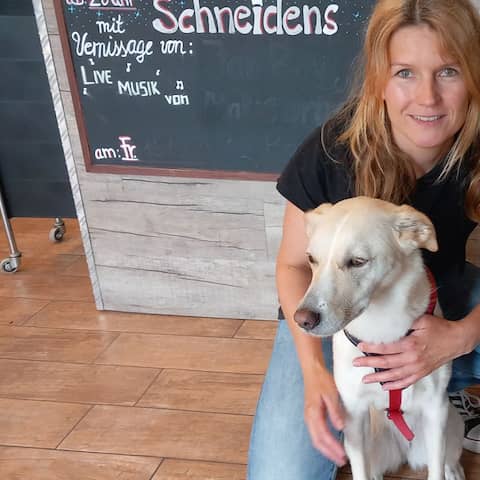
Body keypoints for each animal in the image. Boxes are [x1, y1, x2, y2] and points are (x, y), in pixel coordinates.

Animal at [294, 197, 465, 480]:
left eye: (357, 261)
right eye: (311, 259)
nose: (302, 320)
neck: (383, 327)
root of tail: (404, 451)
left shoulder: (435, 408)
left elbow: (436, 470)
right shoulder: (354, 414)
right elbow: (361, 470)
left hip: (451, 423)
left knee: (445, 460)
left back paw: (453, 470)